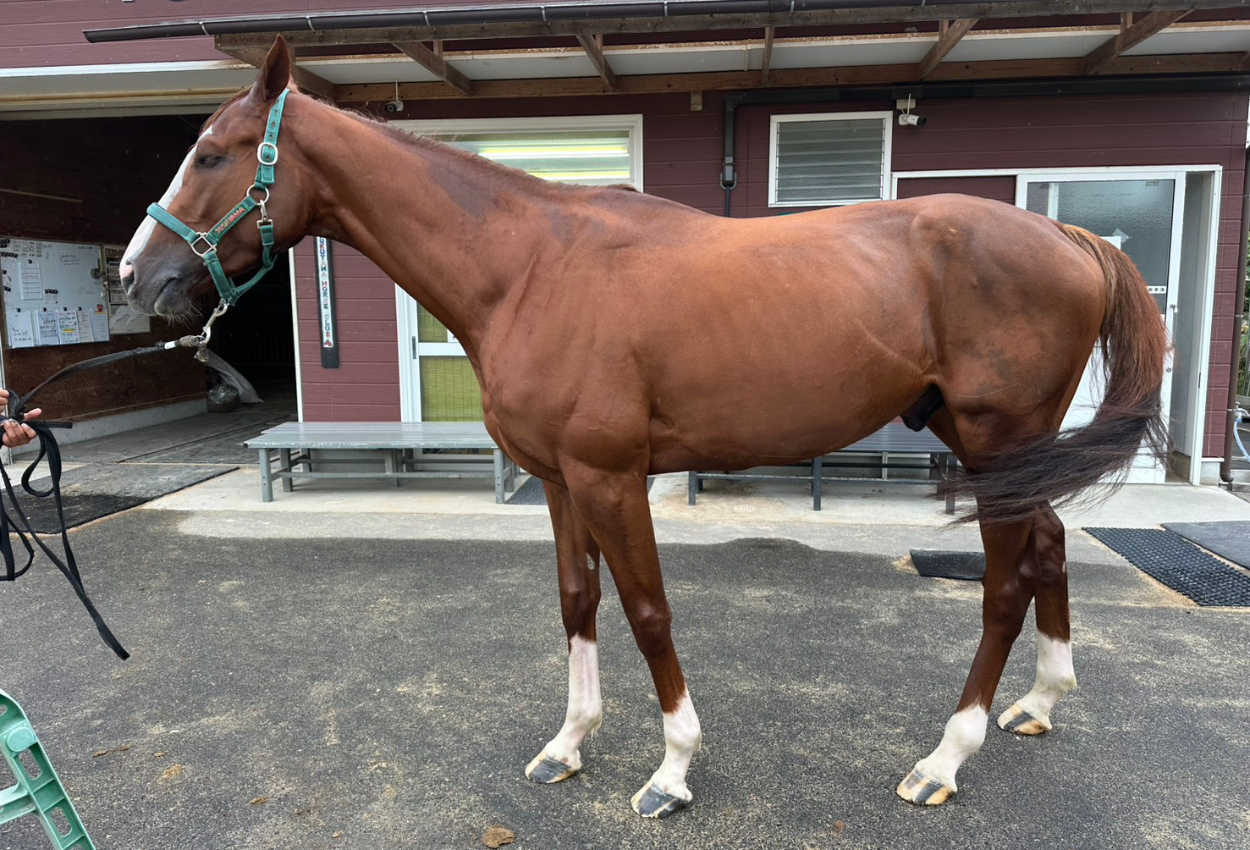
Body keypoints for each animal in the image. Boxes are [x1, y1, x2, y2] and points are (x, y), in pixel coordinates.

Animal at [118, 37, 1166, 817]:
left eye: (211, 152)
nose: (136, 277)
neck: (529, 268)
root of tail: (1071, 238)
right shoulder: (560, 480)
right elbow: (578, 601)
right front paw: (567, 745)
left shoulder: (612, 478)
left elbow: (648, 608)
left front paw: (671, 770)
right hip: (995, 448)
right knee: (1050, 548)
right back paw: (1038, 704)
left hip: (996, 443)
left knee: (1003, 588)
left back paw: (945, 759)